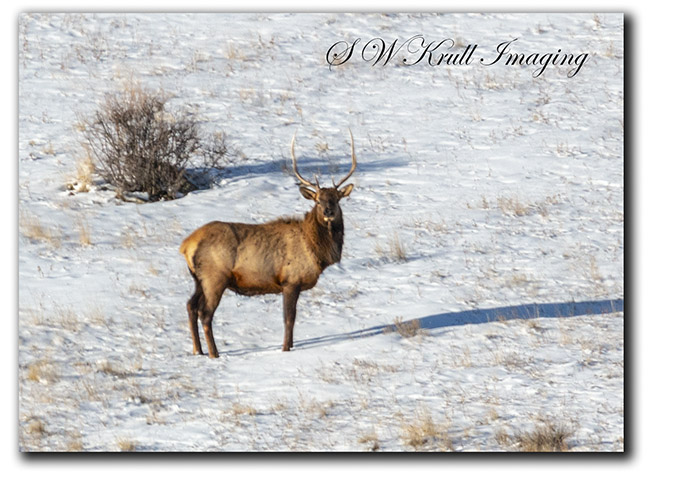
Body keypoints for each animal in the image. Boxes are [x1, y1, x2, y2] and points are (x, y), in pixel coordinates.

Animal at [179, 130, 357, 357]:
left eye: (336, 199)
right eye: (318, 200)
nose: (328, 211)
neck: (317, 251)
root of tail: (185, 246)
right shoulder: (291, 280)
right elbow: (289, 319)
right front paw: (286, 348)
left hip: (198, 279)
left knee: (190, 306)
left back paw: (198, 351)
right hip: (214, 277)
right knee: (205, 313)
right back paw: (214, 354)